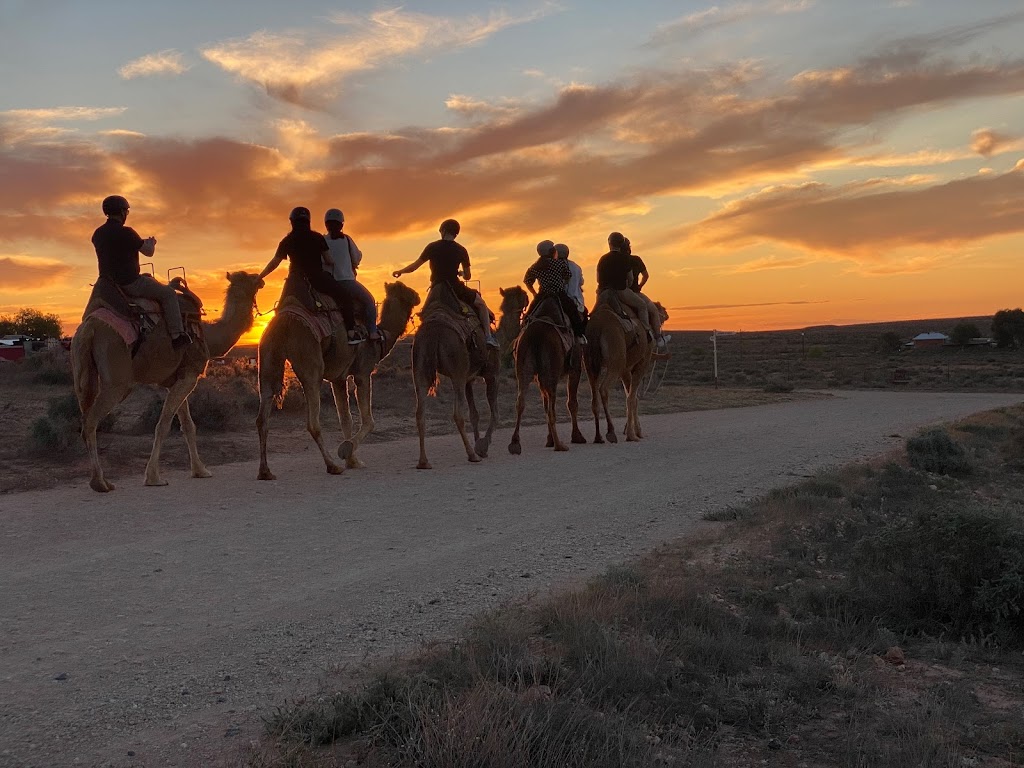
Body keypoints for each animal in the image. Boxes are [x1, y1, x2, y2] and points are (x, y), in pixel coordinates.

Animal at [71, 270, 264, 493]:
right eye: (251, 278)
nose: (261, 279)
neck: (208, 336)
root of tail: (89, 328)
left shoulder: (178, 378)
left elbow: (188, 425)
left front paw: (200, 470)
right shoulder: (189, 376)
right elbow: (163, 425)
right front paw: (154, 477)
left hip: (83, 375)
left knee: (85, 416)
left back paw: (103, 480)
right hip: (117, 380)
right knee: (90, 421)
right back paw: (99, 483)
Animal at [256, 280, 419, 479]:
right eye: (408, 291)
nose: (418, 297)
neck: (382, 335)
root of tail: (283, 324)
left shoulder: (338, 379)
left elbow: (345, 419)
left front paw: (352, 460)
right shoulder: (363, 372)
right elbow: (369, 420)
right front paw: (346, 451)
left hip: (267, 362)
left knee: (262, 418)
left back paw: (265, 471)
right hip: (310, 363)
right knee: (313, 421)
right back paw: (332, 466)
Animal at [411, 282, 499, 468]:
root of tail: (434, 333)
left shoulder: (468, 378)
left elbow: (475, 414)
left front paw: (479, 443)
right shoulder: (492, 373)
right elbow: (494, 412)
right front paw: (482, 446)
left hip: (420, 367)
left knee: (420, 412)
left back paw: (423, 461)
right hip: (457, 369)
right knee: (458, 413)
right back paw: (472, 454)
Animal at [505, 292, 585, 450]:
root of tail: (536, 335)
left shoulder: (538, 377)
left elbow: (544, 403)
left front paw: (549, 440)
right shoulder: (575, 368)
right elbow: (572, 403)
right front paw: (577, 437)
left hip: (524, 369)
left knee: (521, 401)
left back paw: (515, 442)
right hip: (551, 372)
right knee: (551, 409)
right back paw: (560, 445)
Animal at [585, 296, 671, 448]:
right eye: (661, 310)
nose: (666, 313)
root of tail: (597, 327)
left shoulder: (625, 370)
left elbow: (631, 396)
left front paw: (633, 430)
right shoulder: (640, 364)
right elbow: (631, 397)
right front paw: (633, 434)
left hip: (589, 364)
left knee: (594, 398)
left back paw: (598, 437)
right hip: (615, 360)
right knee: (604, 389)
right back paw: (611, 433)